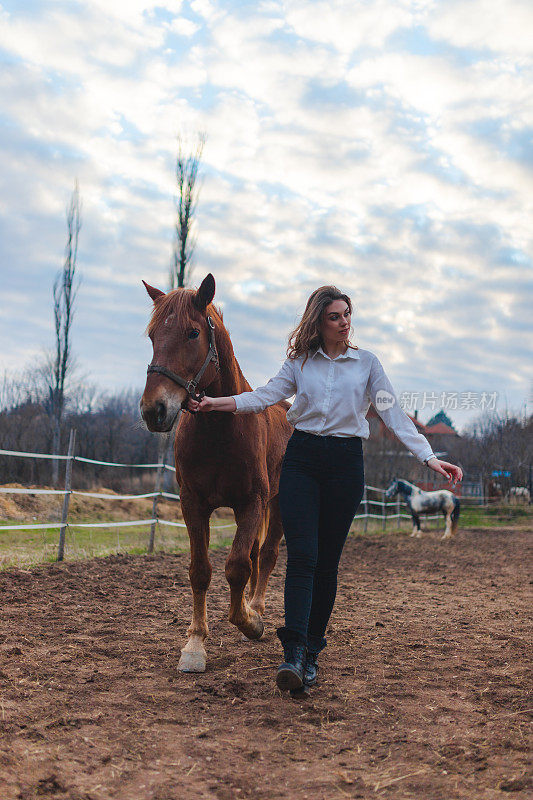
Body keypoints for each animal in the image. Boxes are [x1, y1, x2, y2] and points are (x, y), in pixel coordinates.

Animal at [139, 272, 290, 672]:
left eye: (193, 333)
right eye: (152, 335)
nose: (153, 410)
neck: (220, 430)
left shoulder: (251, 503)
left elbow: (237, 566)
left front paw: (250, 622)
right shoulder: (193, 504)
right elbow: (200, 571)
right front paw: (195, 644)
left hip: (278, 504)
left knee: (265, 556)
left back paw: (257, 607)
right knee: (255, 556)